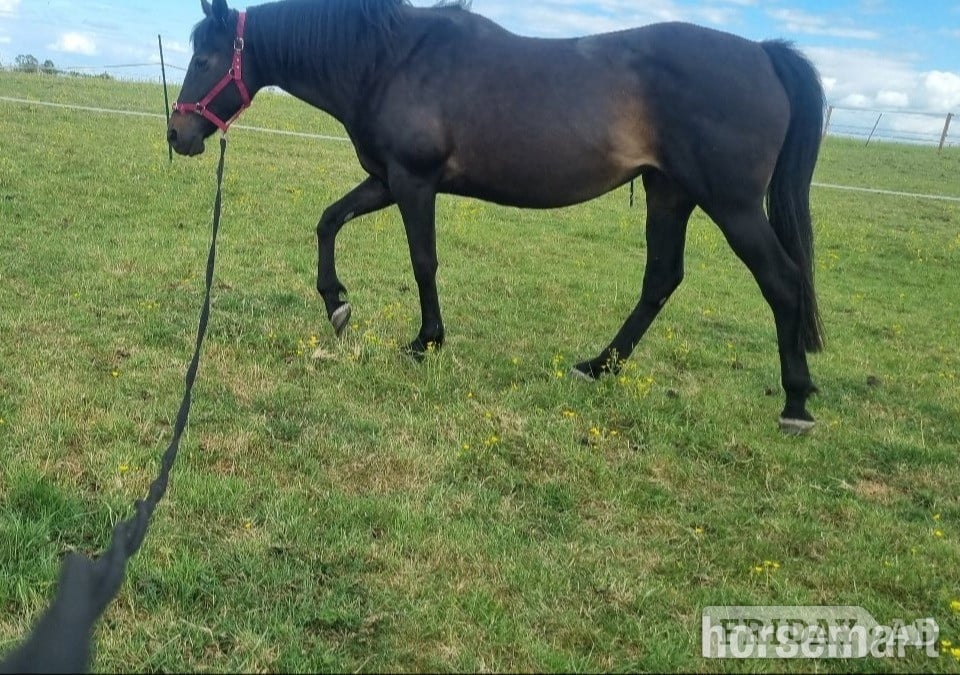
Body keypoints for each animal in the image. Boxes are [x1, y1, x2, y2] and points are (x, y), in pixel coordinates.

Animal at [167, 0, 826, 432]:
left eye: (204, 59)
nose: (178, 135)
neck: (391, 60)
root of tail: (763, 55)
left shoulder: (413, 182)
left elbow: (423, 261)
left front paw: (426, 342)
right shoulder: (386, 180)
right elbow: (329, 221)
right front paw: (337, 304)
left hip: (731, 204)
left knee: (781, 280)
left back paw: (795, 404)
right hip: (669, 193)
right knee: (662, 279)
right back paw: (600, 367)